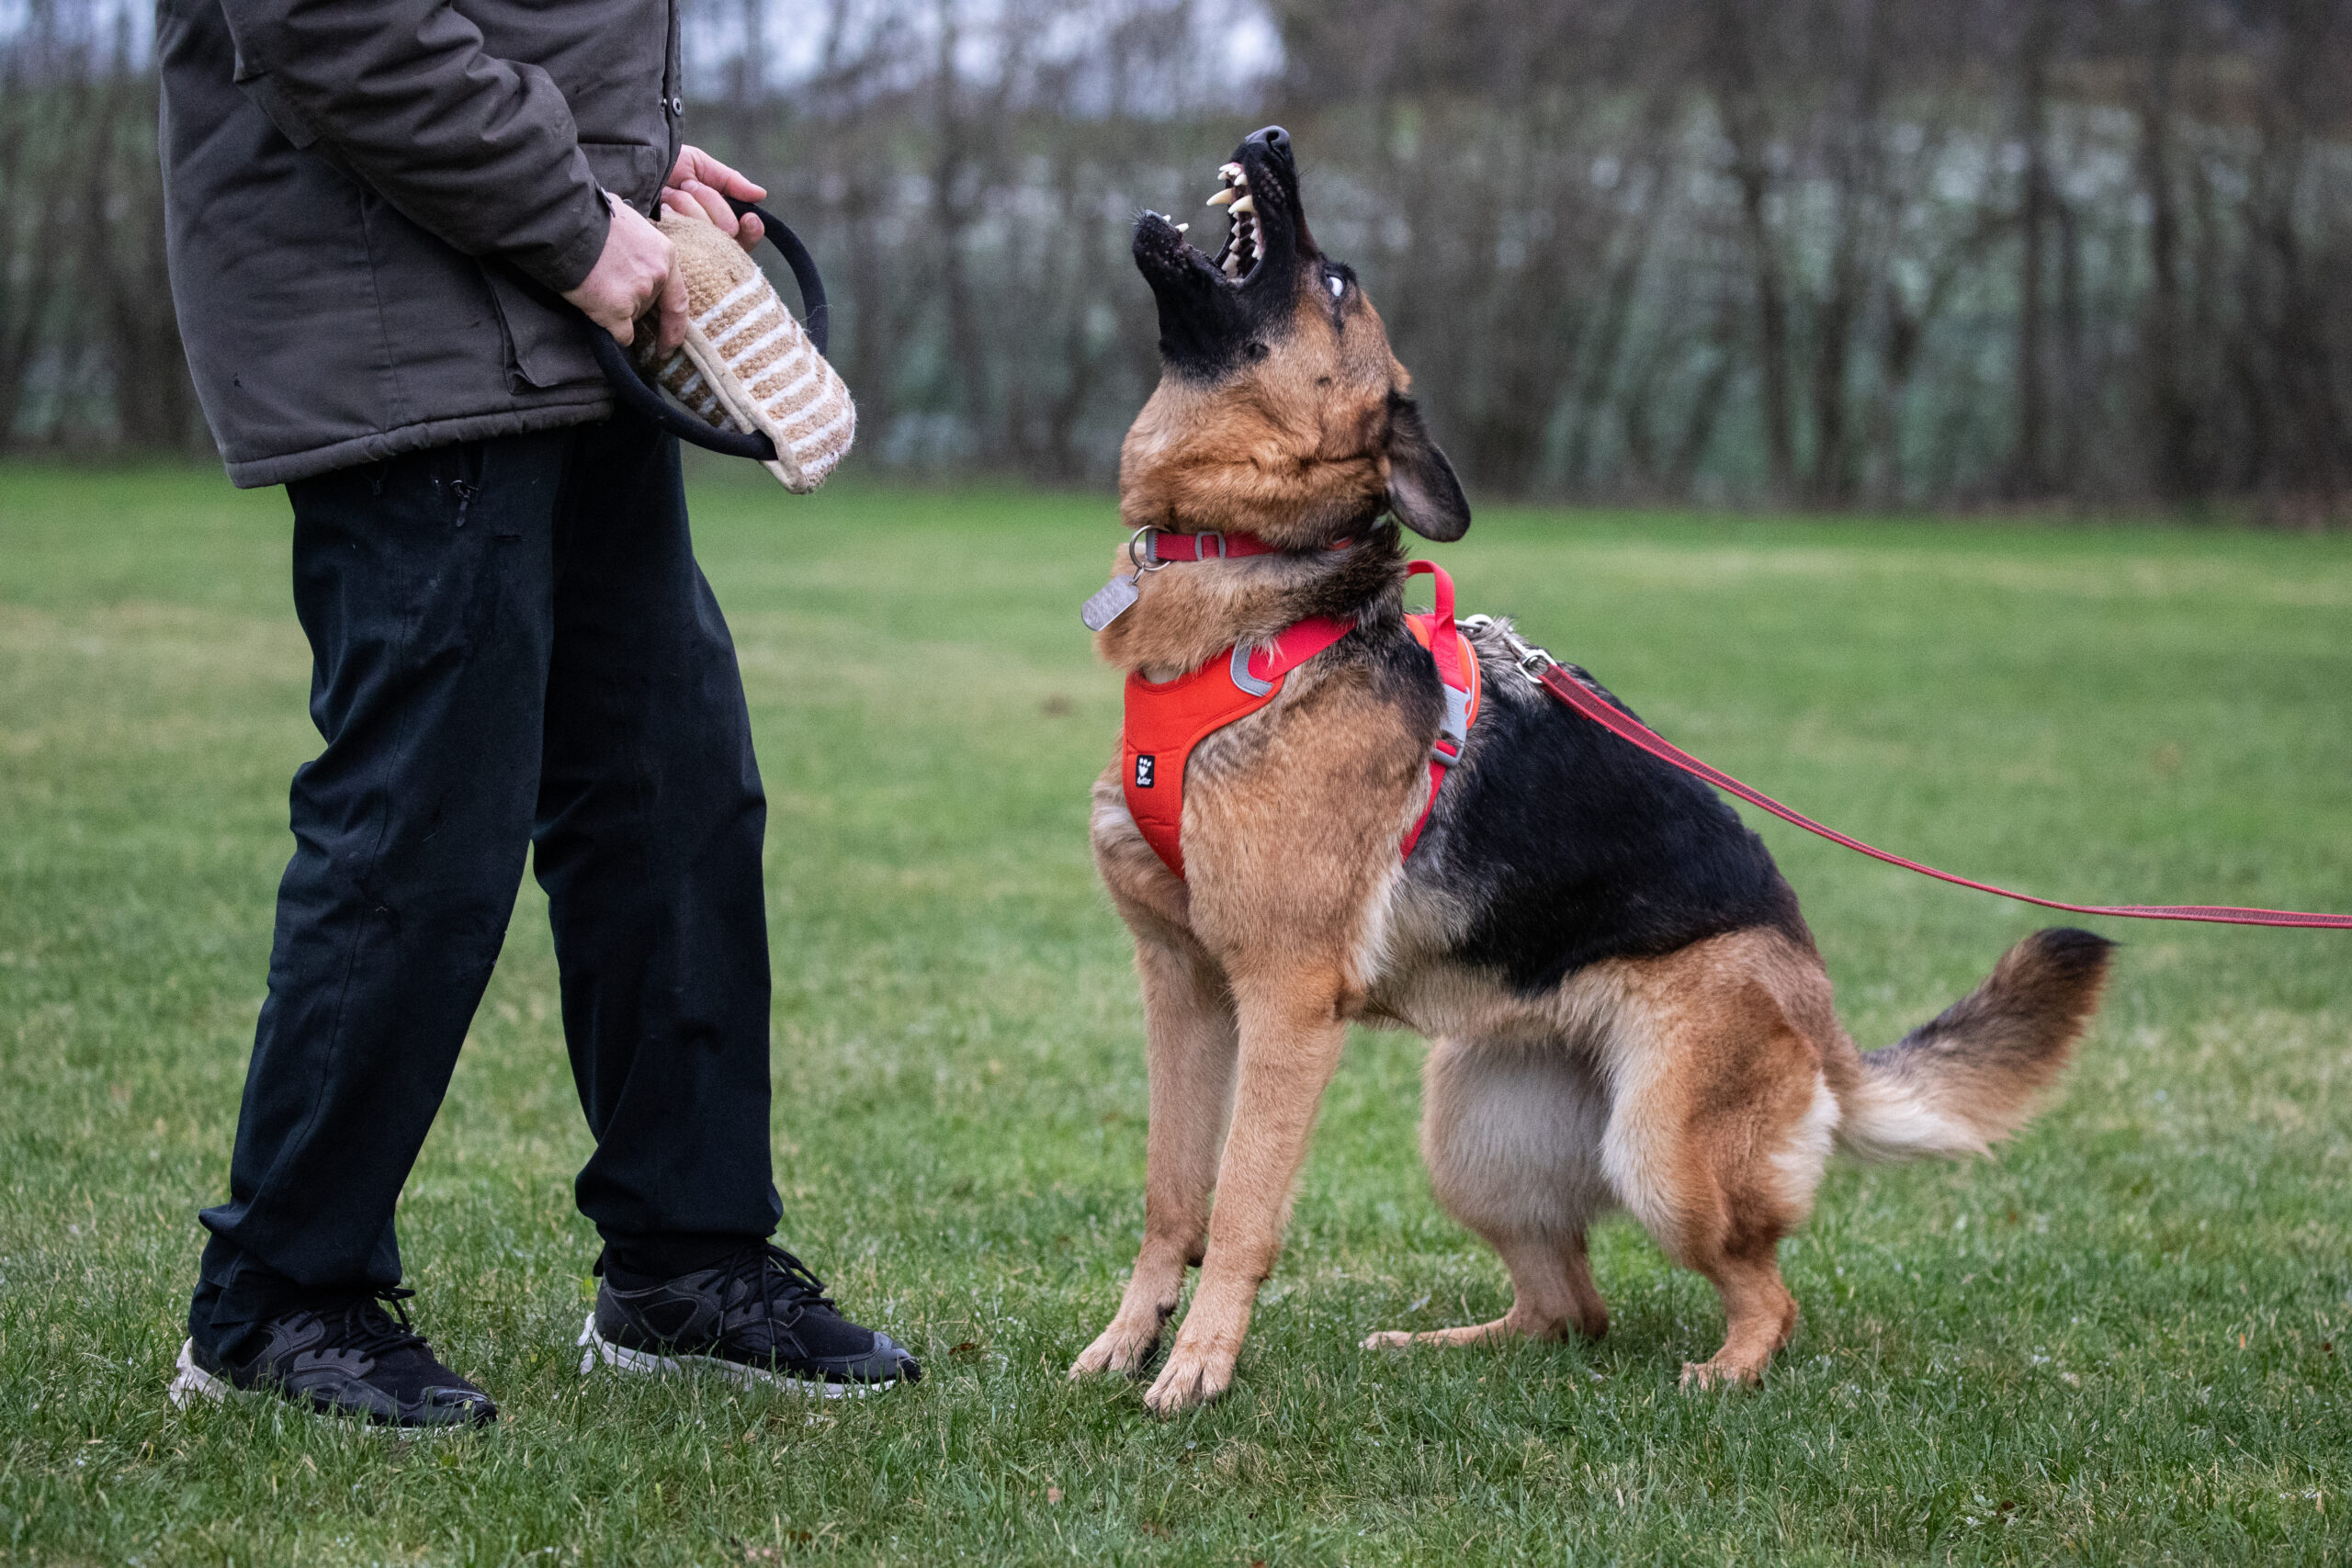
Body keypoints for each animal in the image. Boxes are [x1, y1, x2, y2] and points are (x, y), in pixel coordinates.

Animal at [1072, 129, 2117, 1419]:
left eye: (1337, 282)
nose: (1269, 141)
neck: (1248, 580)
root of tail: (1819, 1017)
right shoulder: (1179, 983)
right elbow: (1172, 1192)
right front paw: (1130, 1340)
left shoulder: (1282, 1004)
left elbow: (1243, 1204)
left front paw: (1201, 1364)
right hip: (1470, 1136)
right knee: (1569, 1307)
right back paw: (1442, 1347)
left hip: (1660, 1155)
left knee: (1764, 1292)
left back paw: (1722, 1373)